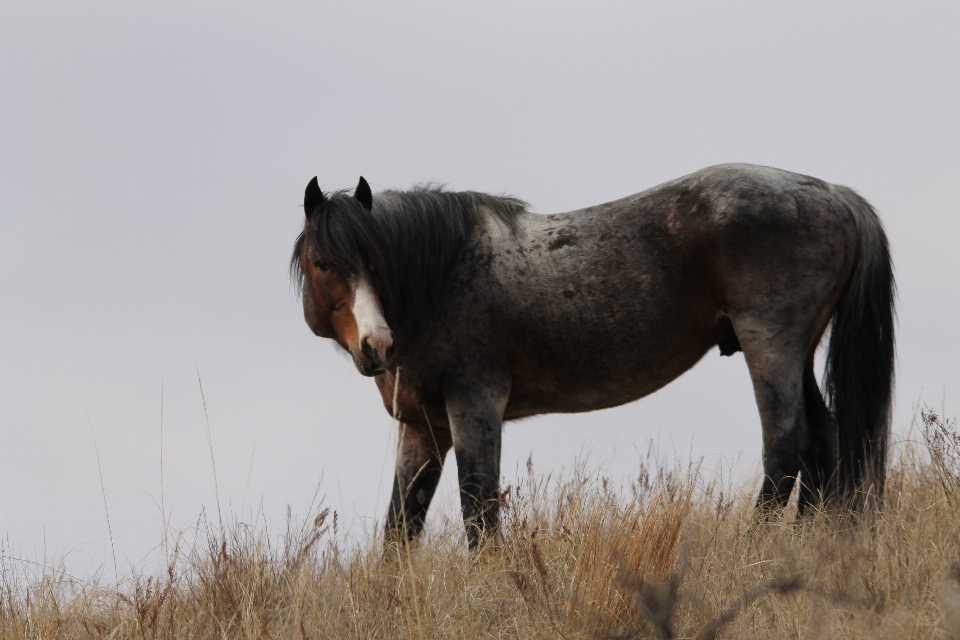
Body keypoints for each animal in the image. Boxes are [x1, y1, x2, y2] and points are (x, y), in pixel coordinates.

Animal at [290, 162, 892, 548]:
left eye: (376, 261)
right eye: (324, 263)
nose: (377, 345)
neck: (439, 280)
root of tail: (834, 193)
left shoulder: (475, 406)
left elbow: (479, 513)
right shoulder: (423, 427)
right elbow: (399, 528)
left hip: (770, 343)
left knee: (786, 449)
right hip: (798, 351)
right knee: (824, 446)